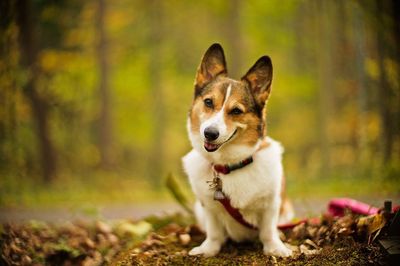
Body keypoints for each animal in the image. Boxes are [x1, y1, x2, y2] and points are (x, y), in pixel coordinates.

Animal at [182, 43, 294, 258]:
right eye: (208, 102)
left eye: (236, 111)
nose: (210, 134)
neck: (229, 164)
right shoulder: (208, 207)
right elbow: (214, 232)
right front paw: (208, 249)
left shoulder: (272, 204)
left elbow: (268, 230)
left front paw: (275, 248)